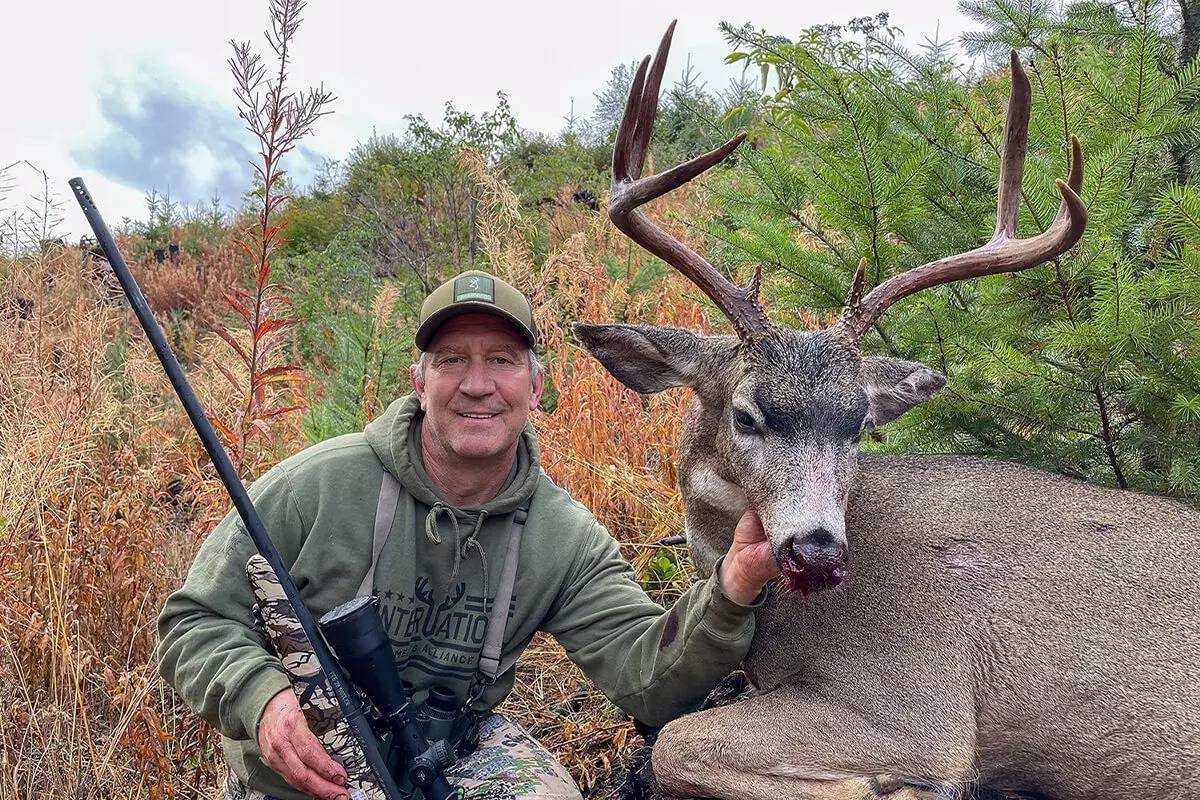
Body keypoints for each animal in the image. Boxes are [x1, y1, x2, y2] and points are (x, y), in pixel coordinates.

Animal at [573, 23, 1200, 800]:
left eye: (858, 423)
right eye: (747, 415)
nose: (817, 550)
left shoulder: (916, 701)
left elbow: (677, 745)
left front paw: (898, 787)